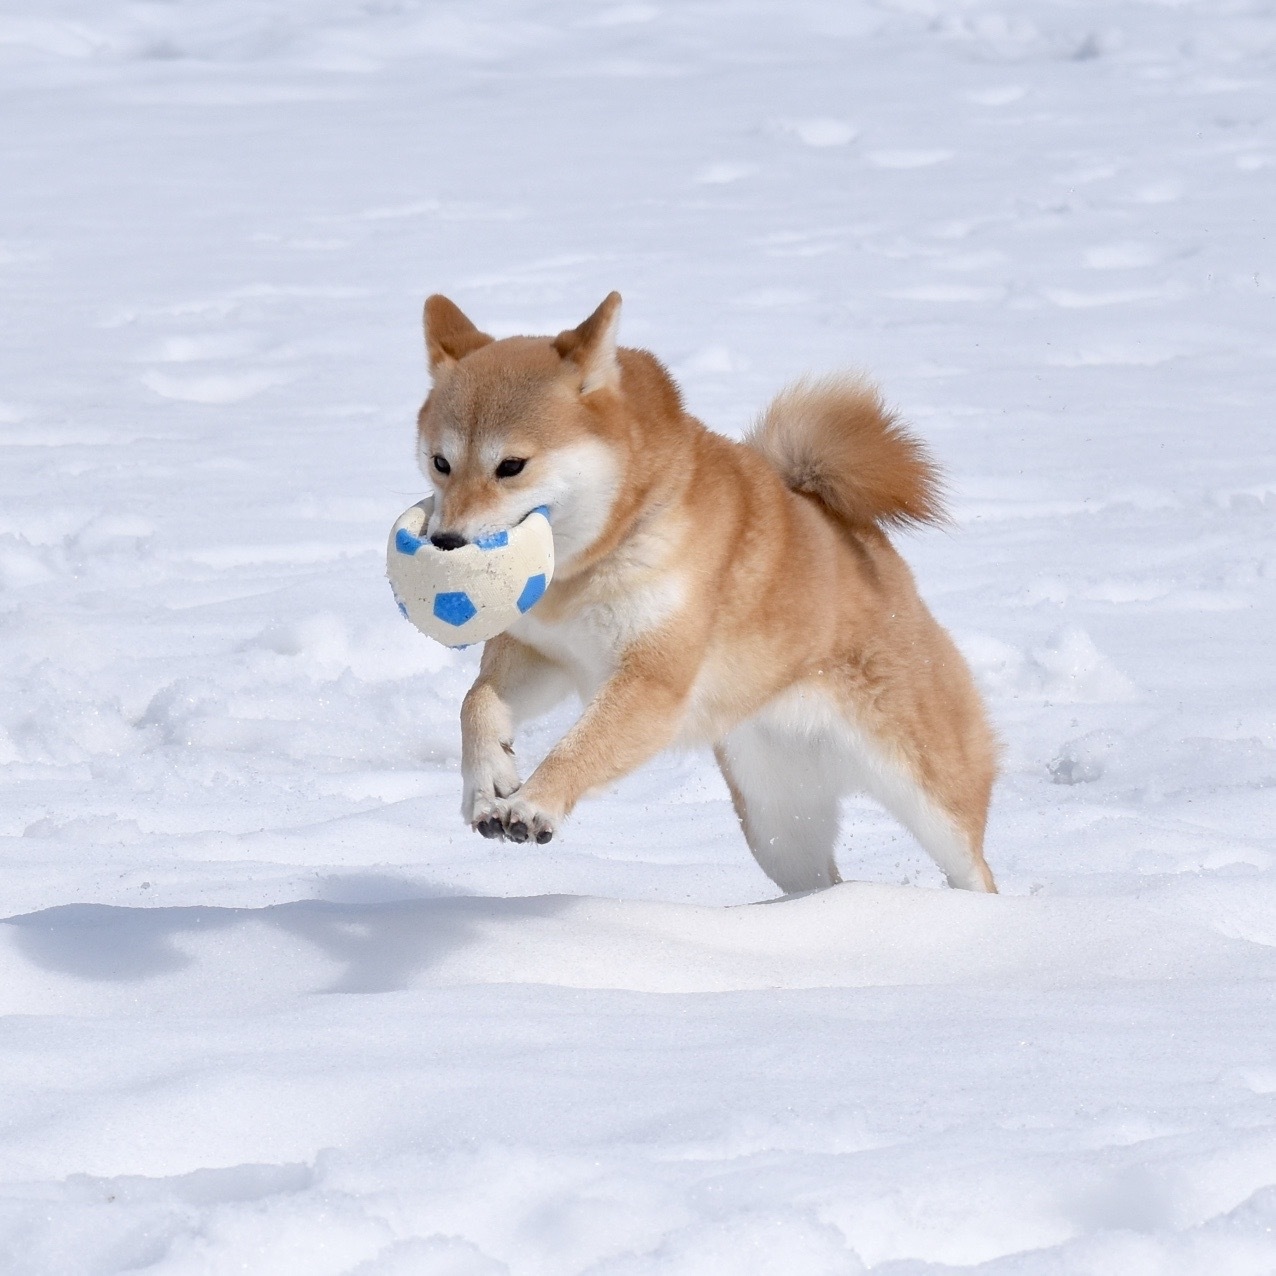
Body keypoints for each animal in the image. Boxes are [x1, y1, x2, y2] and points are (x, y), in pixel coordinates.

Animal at [415, 294, 995, 898]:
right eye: (440, 462)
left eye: (511, 466)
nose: (445, 541)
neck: (600, 555)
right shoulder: (544, 653)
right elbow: (476, 704)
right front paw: (489, 784)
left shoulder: (653, 681)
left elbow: (580, 747)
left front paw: (533, 804)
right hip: (776, 825)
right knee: (819, 878)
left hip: (930, 796)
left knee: (973, 870)